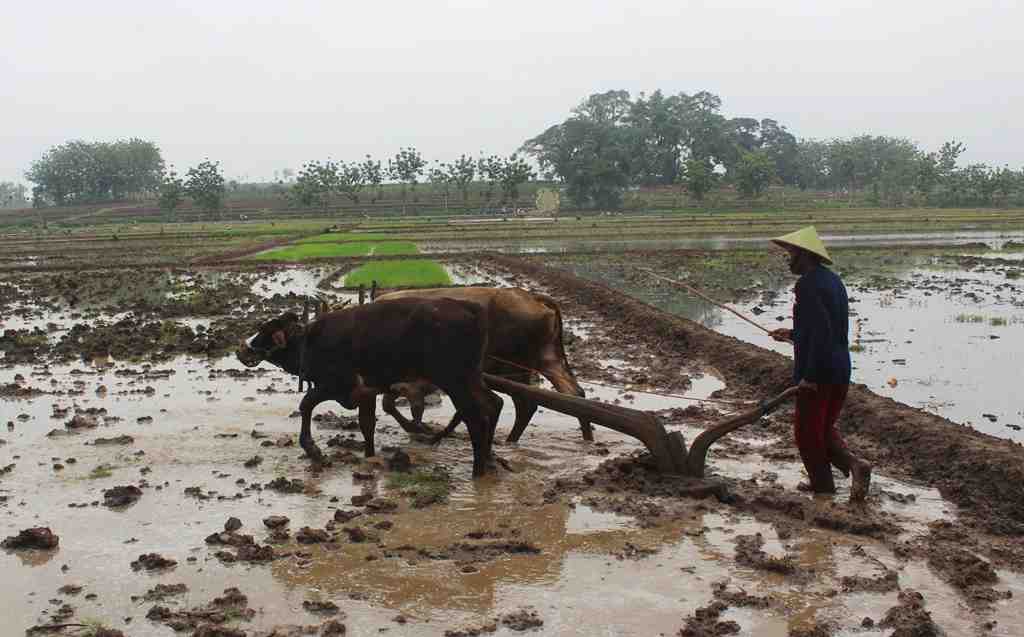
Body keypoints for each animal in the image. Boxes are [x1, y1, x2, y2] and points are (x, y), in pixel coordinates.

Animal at [233, 301, 503, 477]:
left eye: (266, 331)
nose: (242, 350)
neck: (308, 342)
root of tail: (473, 309)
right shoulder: (366, 394)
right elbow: (366, 425)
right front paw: (369, 455)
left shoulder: (335, 385)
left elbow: (306, 404)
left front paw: (313, 449)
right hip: (472, 379)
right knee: (493, 404)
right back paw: (489, 460)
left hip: (455, 381)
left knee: (475, 418)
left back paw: (477, 471)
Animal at [374, 288, 593, 444]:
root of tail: (531, 297)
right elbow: (390, 404)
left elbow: (394, 404)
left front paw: (417, 429)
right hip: (548, 359)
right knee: (575, 394)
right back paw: (588, 440)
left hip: (515, 369)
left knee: (526, 404)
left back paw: (509, 441)